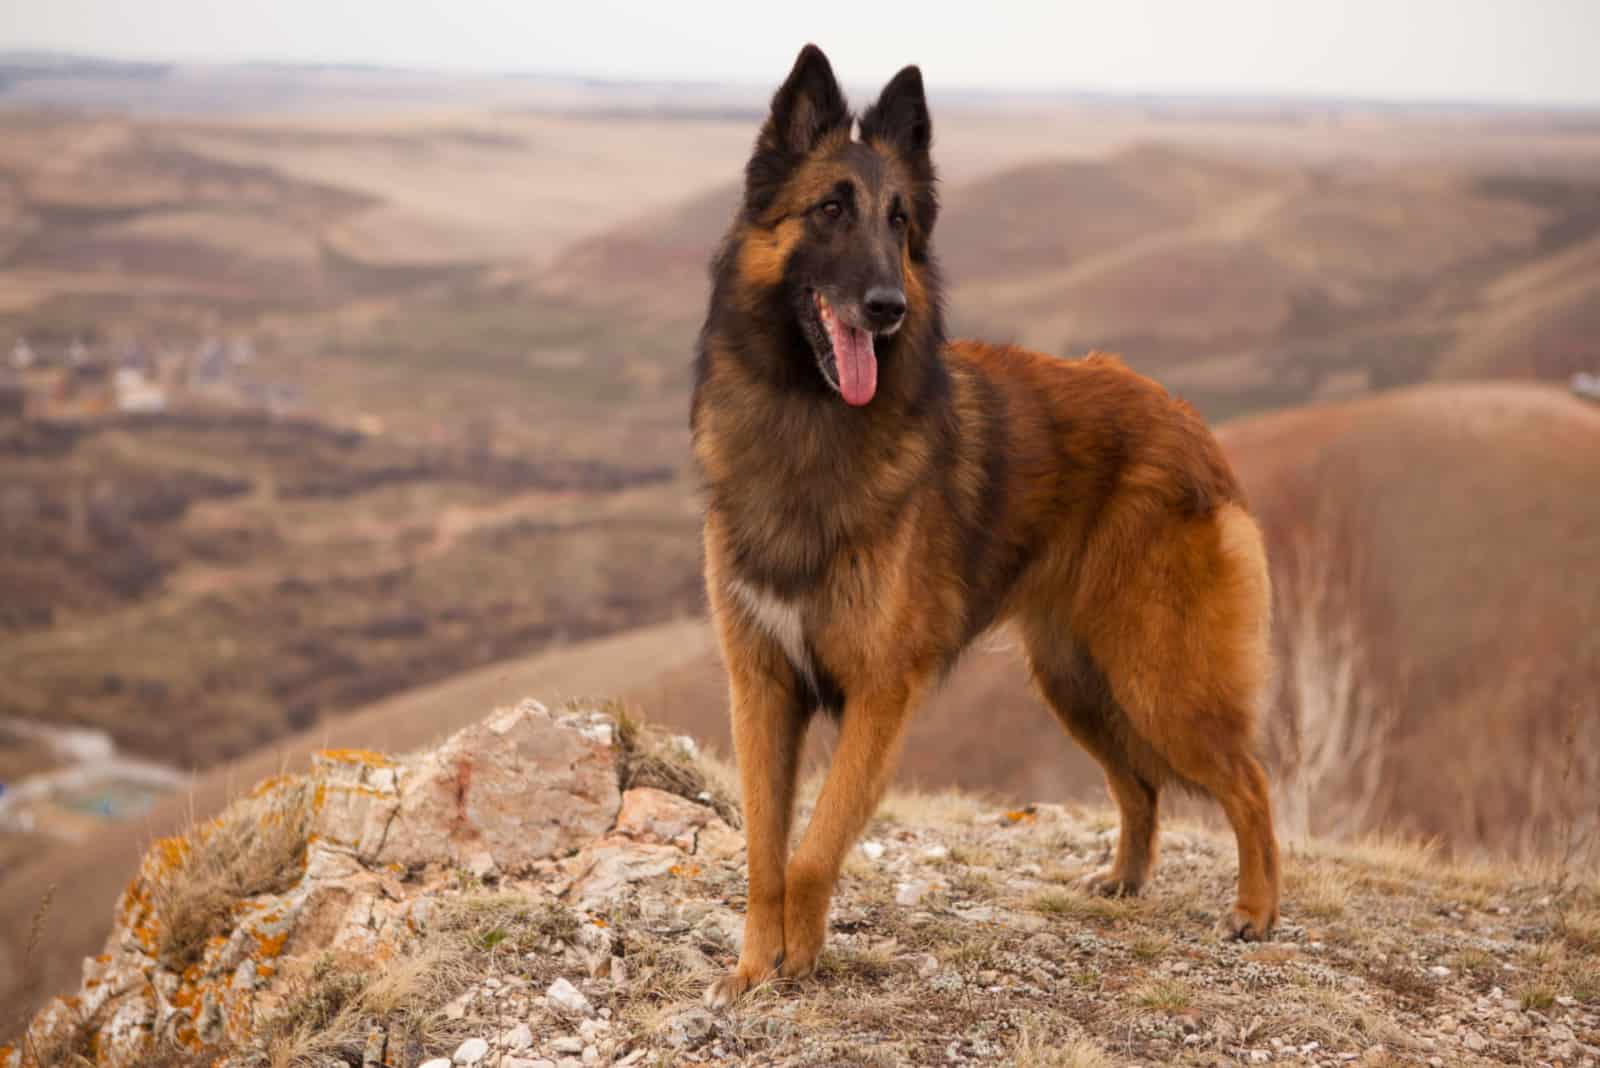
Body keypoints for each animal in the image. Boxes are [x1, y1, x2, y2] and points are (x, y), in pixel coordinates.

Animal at [694, 43, 1280, 1010]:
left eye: (900, 221)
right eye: (829, 210)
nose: (887, 307)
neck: (809, 420)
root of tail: (1189, 421)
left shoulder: (879, 693)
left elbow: (812, 851)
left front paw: (800, 963)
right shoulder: (762, 683)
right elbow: (763, 853)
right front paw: (751, 969)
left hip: (1159, 677)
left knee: (1250, 782)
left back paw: (1257, 912)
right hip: (1077, 680)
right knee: (1141, 786)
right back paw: (1124, 879)